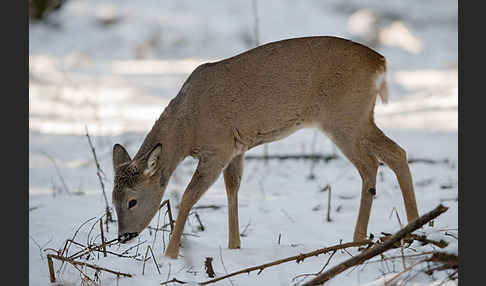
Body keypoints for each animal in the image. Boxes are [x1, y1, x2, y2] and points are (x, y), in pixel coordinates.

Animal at [111, 36, 418, 260]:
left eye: (132, 201)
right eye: (112, 200)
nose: (123, 236)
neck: (188, 127)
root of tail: (380, 62)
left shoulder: (218, 147)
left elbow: (187, 197)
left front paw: (171, 254)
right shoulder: (236, 149)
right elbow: (232, 189)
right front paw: (234, 245)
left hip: (344, 117)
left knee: (370, 164)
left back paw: (359, 238)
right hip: (359, 117)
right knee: (396, 153)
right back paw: (412, 226)